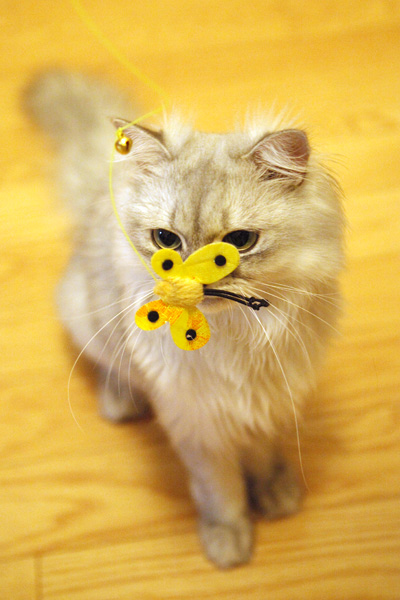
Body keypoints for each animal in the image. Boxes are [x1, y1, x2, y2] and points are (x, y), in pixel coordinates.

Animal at [26, 71, 345, 568]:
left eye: (239, 242)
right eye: (166, 240)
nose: (191, 285)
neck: (232, 336)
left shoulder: (265, 399)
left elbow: (262, 453)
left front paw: (273, 491)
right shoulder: (197, 420)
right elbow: (221, 488)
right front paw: (228, 540)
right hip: (87, 316)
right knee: (111, 368)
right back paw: (120, 402)